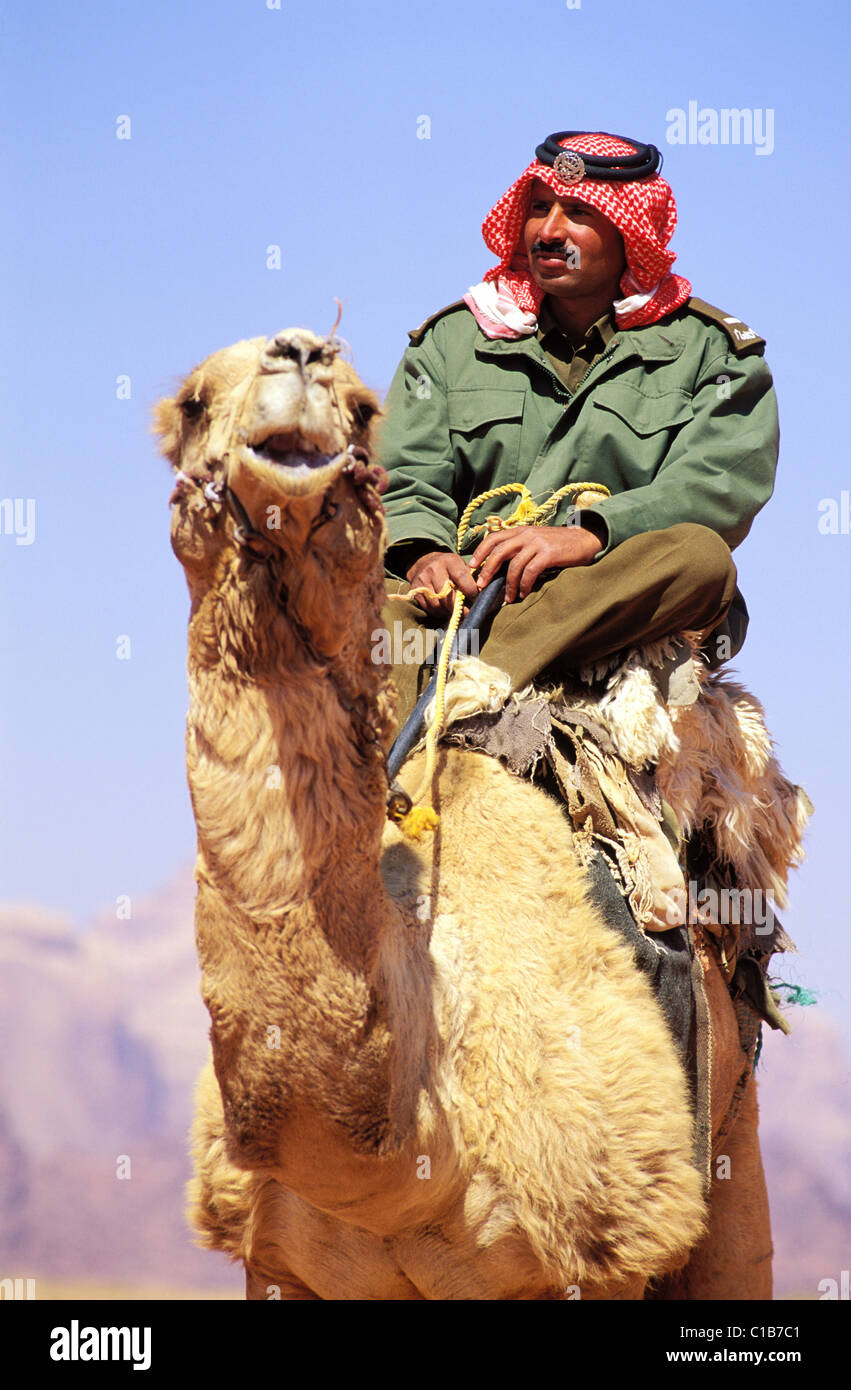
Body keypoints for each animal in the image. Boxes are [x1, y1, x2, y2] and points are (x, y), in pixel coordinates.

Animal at [154, 319, 812, 1295]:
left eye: (363, 410)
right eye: (194, 403)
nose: (300, 356)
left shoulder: (593, 1251)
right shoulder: (276, 1263)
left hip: (731, 1135)